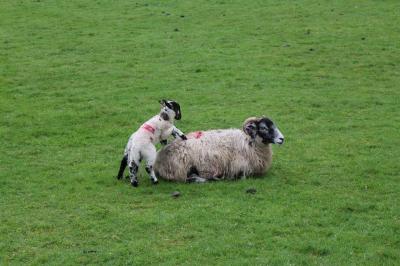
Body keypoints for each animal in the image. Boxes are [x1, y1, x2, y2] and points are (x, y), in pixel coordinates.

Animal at [154, 117, 284, 183]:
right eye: (264, 128)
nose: (282, 139)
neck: (249, 143)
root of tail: (159, 158)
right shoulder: (239, 167)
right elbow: (242, 176)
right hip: (183, 168)